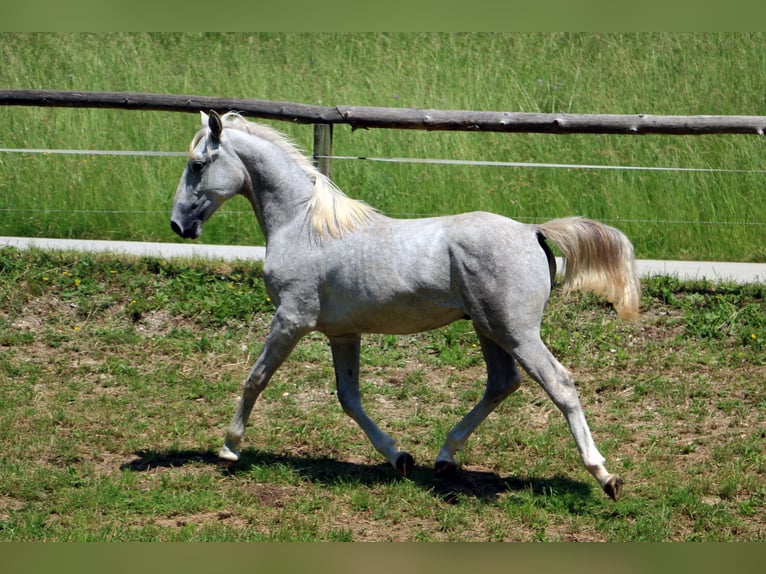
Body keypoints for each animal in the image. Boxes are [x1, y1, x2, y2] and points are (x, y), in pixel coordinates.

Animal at [170, 110, 640, 502]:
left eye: (198, 165)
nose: (178, 224)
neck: (304, 227)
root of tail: (533, 231)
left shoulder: (290, 319)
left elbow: (256, 378)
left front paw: (229, 448)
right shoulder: (342, 333)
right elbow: (349, 397)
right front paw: (399, 457)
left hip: (517, 332)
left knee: (559, 384)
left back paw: (605, 476)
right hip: (489, 329)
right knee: (501, 383)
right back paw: (444, 458)